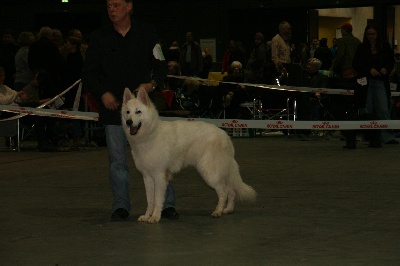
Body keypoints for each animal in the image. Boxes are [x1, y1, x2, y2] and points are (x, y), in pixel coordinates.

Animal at [121, 87, 256, 222]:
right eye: (128, 112)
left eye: (138, 112)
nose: (128, 122)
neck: (150, 134)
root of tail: (225, 135)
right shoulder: (147, 177)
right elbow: (150, 200)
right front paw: (147, 216)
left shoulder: (159, 176)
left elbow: (158, 199)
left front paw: (155, 217)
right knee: (231, 191)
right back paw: (228, 209)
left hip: (209, 172)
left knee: (224, 192)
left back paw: (218, 211)